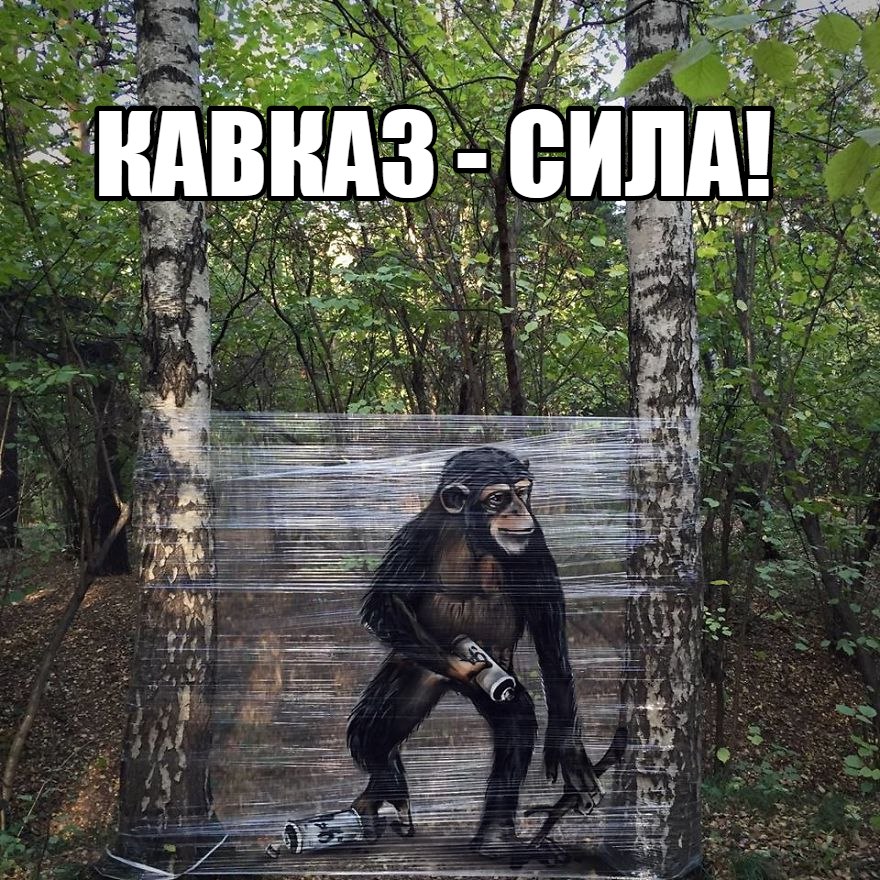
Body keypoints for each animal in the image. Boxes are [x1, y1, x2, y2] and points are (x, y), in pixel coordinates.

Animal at [346, 447, 609, 865]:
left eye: (523, 492)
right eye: (497, 498)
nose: (519, 509)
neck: (473, 537)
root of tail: (443, 682)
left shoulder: (534, 543)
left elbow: (549, 628)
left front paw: (570, 752)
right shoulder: (413, 538)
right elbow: (384, 602)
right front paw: (467, 663)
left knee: (516, 720)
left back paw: (496, 839)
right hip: (416, 666)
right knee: (371, 731)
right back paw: (385, 785)